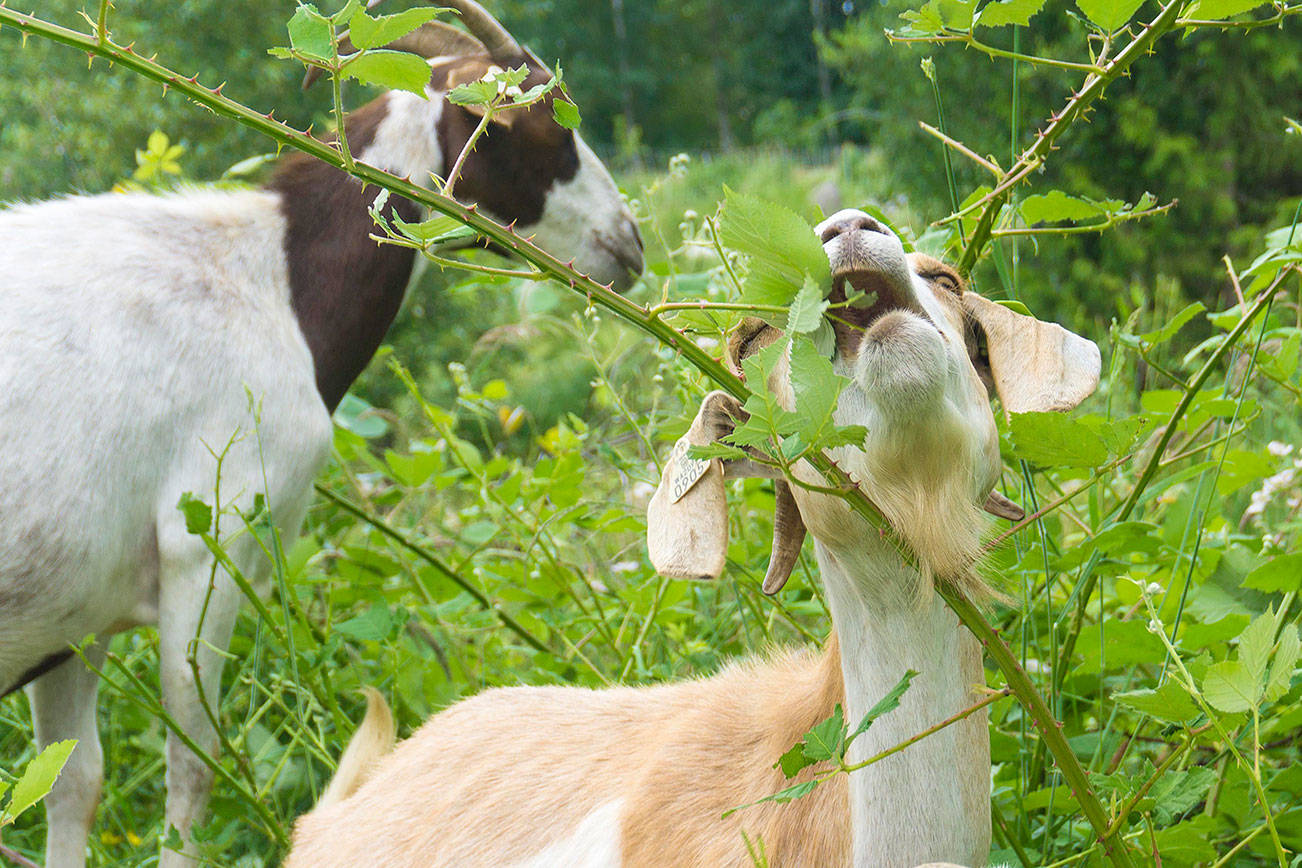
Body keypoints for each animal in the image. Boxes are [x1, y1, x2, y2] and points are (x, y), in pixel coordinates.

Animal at [0, 2, 642, 866]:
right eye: (541, 122)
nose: (628, 242)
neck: (268, 281)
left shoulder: (76, 607)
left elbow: (71, 784)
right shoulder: (212, 542)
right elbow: (191, 770)